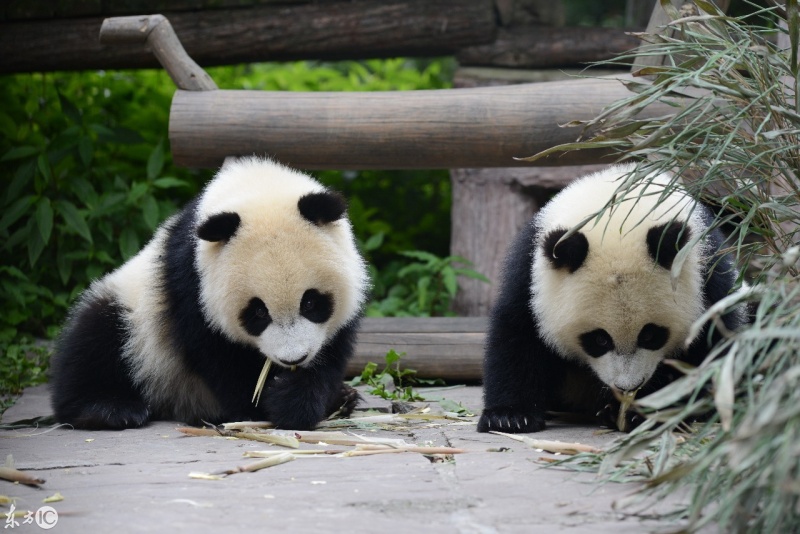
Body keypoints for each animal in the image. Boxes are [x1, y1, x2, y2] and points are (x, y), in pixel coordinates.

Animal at [51, 158, 370, 432]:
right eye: (257, 312)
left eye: (311, 302)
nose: (293, 358)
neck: (256, 185)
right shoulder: (191, 280)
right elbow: (216, 354)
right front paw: (259, 405)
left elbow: (330, 355)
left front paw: (297, 399)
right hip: (134, 312)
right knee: (96, 340)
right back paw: (108, 409)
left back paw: (344, 398)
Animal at [482, 164, 752, 436]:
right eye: (599, 339)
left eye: (650, 335)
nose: (627, 387)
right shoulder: (532, 276)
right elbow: (518, 335)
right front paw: (510, 417)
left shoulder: (707, 273)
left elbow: (710, 346)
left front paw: (646, 410)